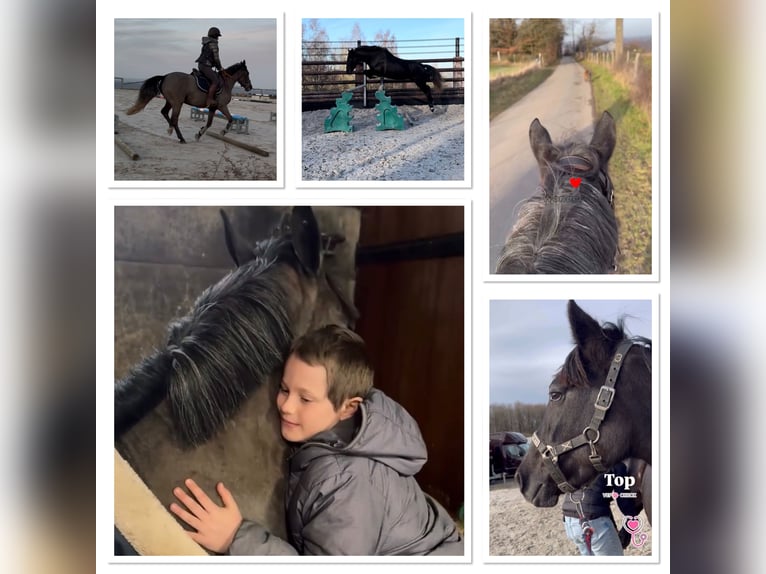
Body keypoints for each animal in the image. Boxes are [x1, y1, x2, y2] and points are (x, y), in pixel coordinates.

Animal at [125, 60, 253, 143]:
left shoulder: (213, 107)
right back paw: (178, 136)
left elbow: (209, 123)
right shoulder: (222, 106)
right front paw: (223, 132)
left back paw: (173, 131)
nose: (249, 87)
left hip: (171, 102)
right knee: (174, 119)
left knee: (165, 112)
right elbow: (230, 119)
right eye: (247, 73)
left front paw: (199, 134)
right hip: (177, 103)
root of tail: (165, 76)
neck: (225, 83)